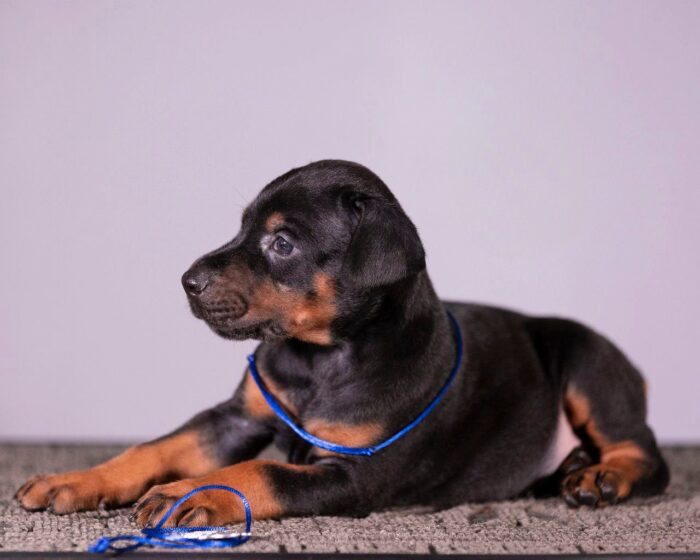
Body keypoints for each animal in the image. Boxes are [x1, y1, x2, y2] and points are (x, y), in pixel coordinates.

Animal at [16, 160, 669, 527]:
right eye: (242, 227)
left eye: (282, 243)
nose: (187, 281)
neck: (321, 357)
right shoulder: (236, 416)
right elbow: (154, 447)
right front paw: (74, 479)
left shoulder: (354, 474)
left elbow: (261, 470)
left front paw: (185, 493)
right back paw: (574, 467)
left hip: (584, 359)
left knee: (646, 454)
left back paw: (599, 478)